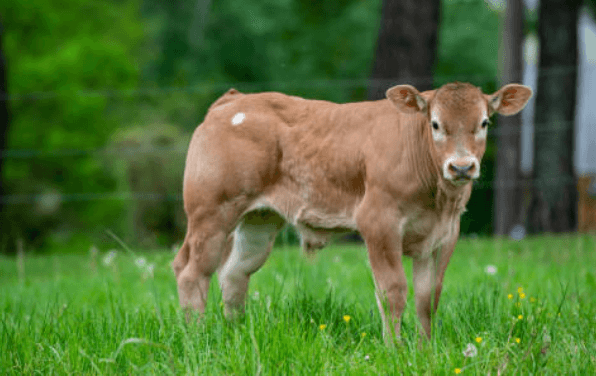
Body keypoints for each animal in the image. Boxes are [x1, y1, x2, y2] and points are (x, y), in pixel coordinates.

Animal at [171, 81, 532, 338]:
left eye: (484, 123)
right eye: (435, 124)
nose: (461, 167)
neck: (437, 200)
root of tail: (234, 99)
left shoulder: (445, 234)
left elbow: (428, 297)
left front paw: (425, 350)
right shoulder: (379, 223)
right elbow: (393, 291)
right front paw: (396, 350)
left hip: (259, 220)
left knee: (234, 273)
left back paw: (236, 334)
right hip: (211, 212)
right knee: (192, 272)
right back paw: (196, 336)